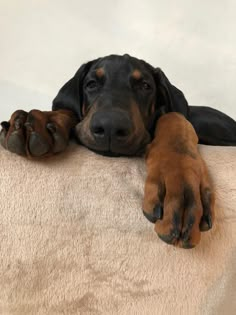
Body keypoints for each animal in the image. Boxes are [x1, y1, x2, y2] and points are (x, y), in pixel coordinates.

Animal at [0, 55, 236, 249]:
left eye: (145, 86)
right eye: (91, 84)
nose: (110, 127)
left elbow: (173, 116)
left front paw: (180, 184)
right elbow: (70, 112)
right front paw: (38, 122)